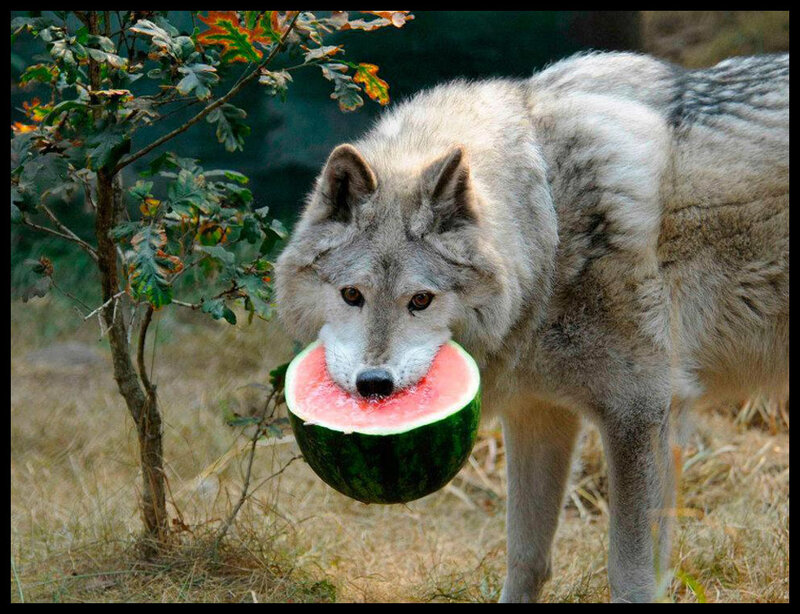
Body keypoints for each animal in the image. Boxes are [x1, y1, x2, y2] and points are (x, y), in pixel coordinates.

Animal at [275, 51, 789, 602]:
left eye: (421, 300)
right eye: (352, 295)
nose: (374, 386)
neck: (550, 225)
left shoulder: (640, 415)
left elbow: (630, 575)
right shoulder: (538, 414)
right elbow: (526, 558)